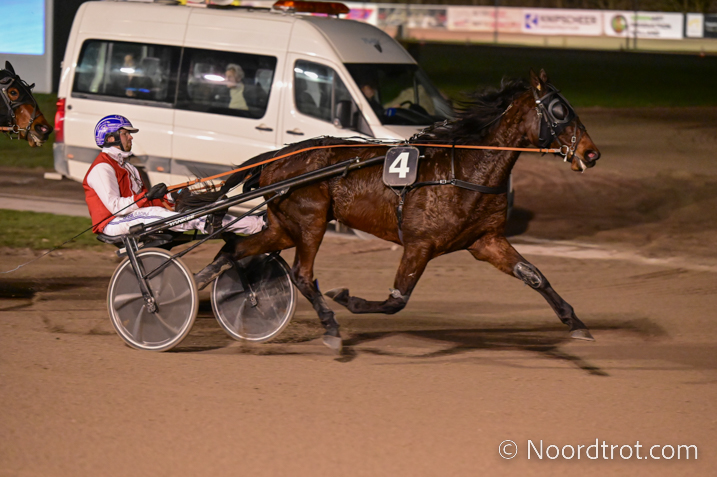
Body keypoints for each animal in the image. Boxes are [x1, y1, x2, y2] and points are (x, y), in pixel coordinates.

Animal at [188, 69, 601, 352]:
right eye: (559, 109)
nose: (591, 153)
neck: (464, 171)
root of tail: (276, 158)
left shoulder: (486, 241)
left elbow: (534, 276)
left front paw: (575, 322)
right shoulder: (420, 245)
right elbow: (395, 301)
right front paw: (346, 299)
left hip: (285, 226)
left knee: (233, 249)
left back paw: (196, 284)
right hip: (311, 222)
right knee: (302, 275)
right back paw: (330, 326)